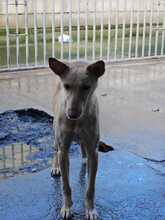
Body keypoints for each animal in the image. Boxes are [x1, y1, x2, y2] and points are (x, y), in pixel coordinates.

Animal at [48, 57, 104, 219]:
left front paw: (90, 209)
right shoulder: (64, 151)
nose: (71, 114)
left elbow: (90, 188)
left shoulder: (94, 152)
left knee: (82, 146)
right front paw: (67, 208)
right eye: (66, 86)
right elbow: (65, 186)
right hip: (55, 135)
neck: (78, 121)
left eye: (86, 87)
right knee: (55, 149)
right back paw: (55, 167)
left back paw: (84, 159)